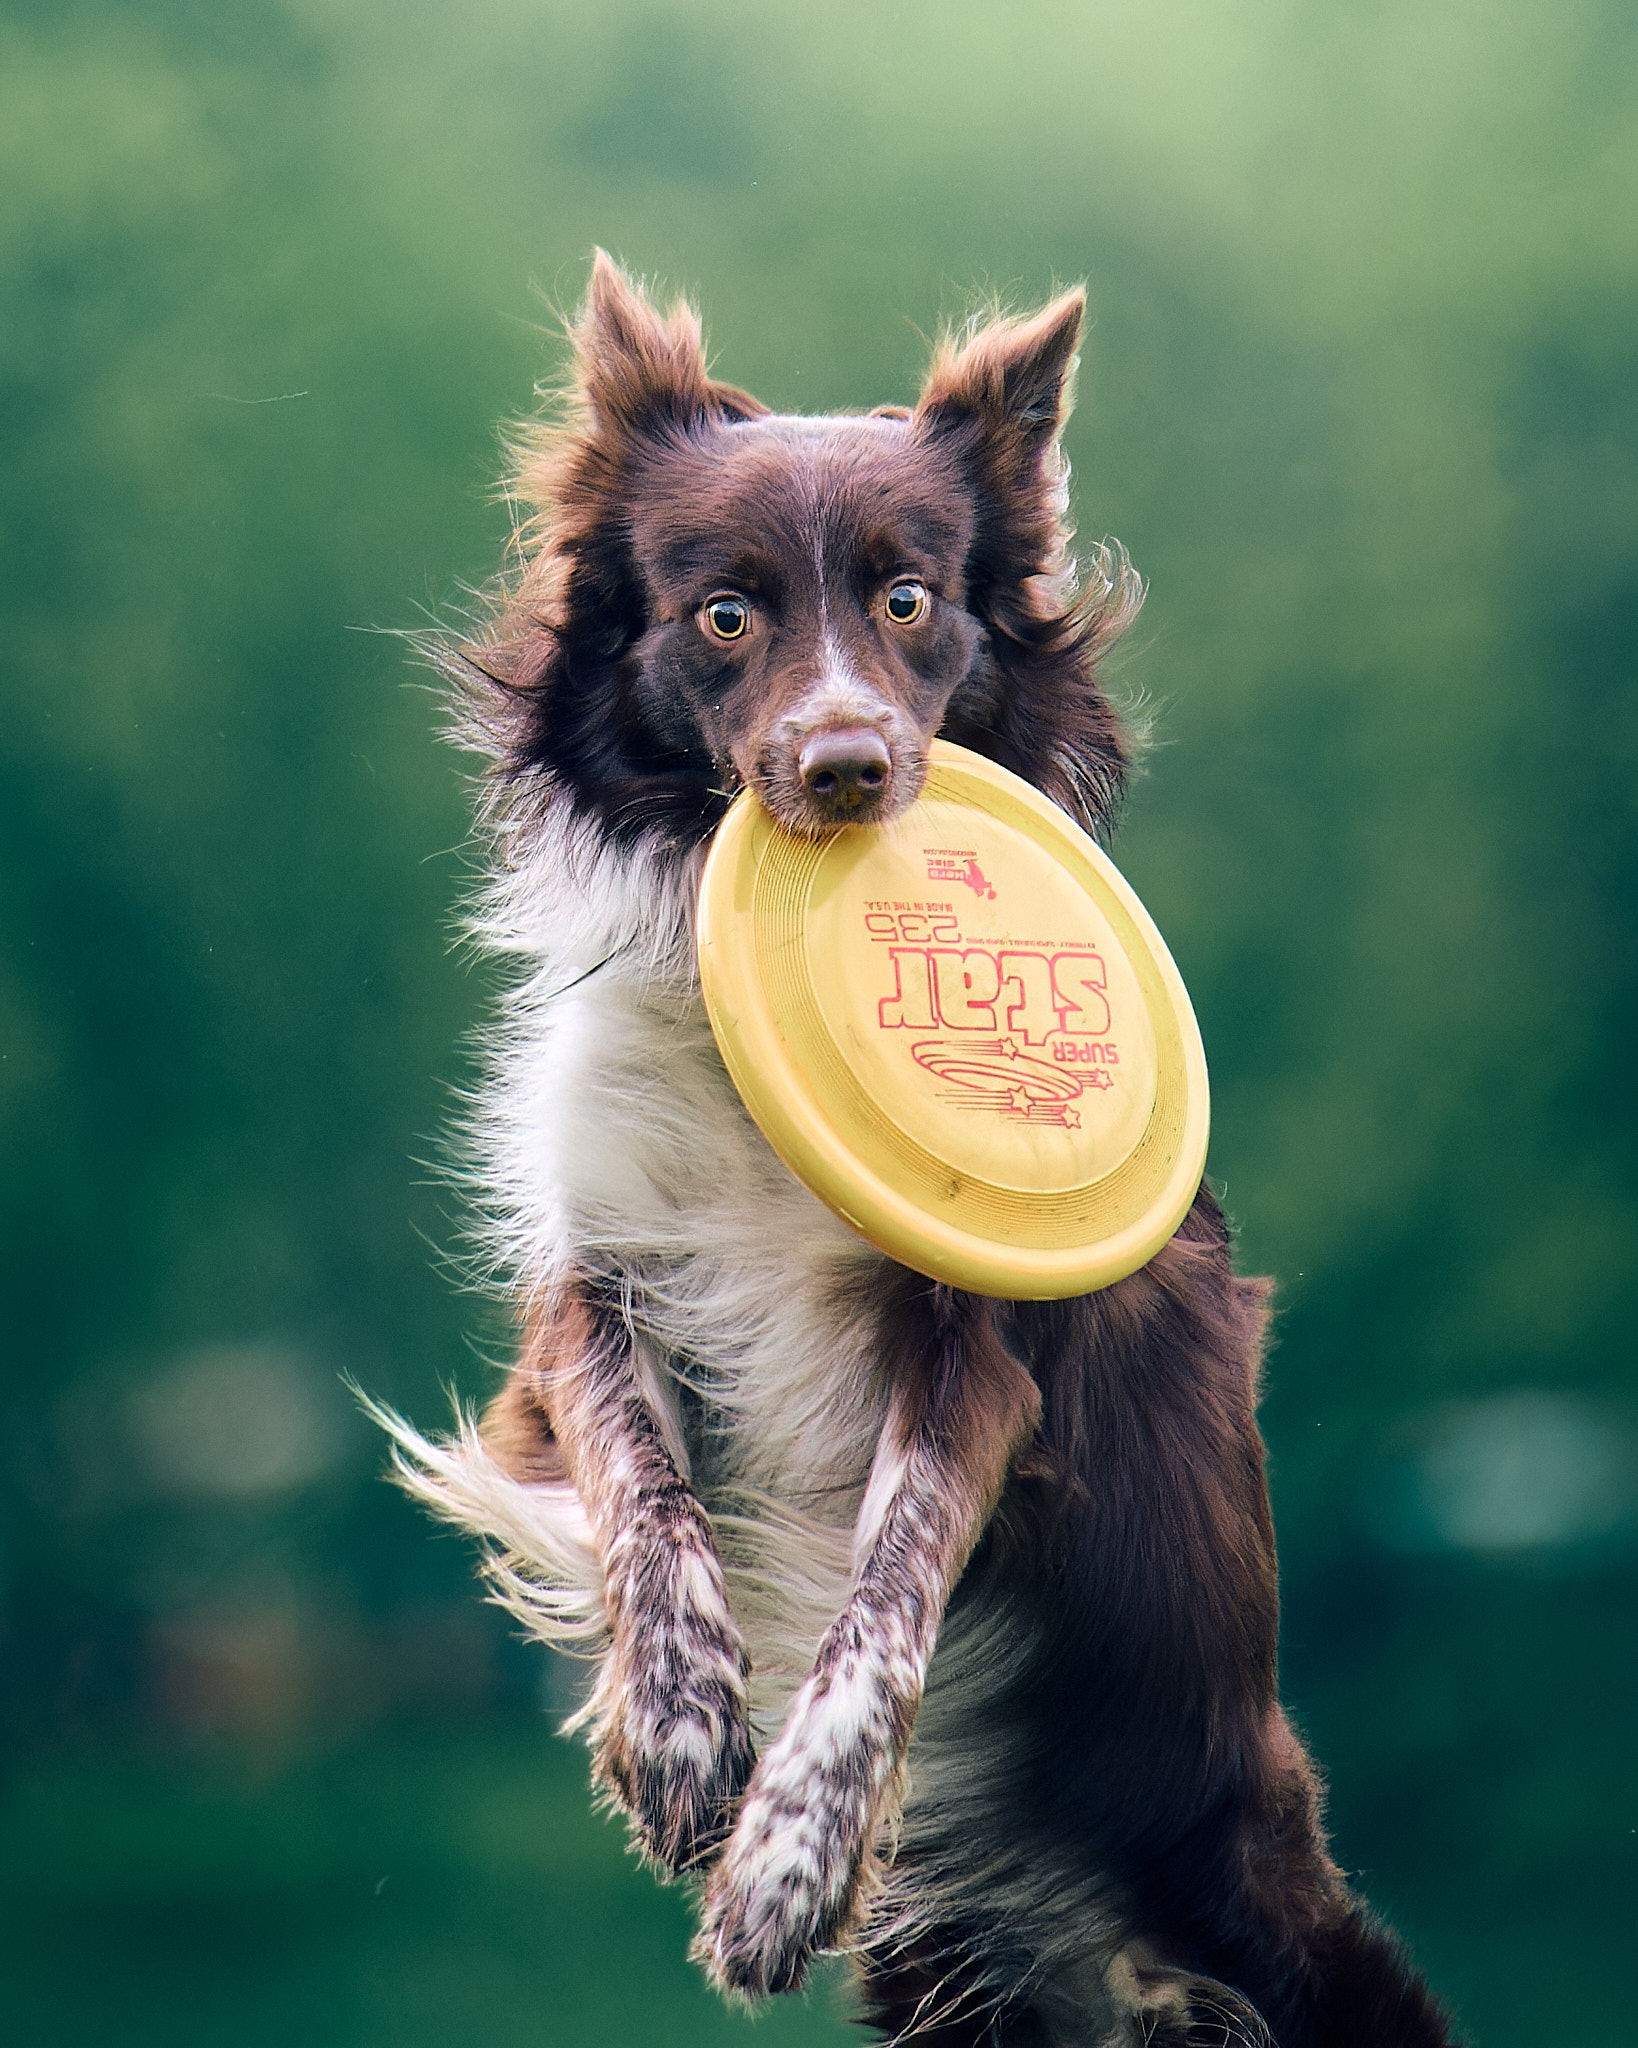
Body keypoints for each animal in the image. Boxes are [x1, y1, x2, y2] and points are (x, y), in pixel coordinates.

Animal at [384, 256, 1457, 2048]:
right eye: (723, 613)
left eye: (905, 600)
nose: (846, 768)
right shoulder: (594, 1275)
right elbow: (638, 1484)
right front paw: (675, 1728)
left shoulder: (979, 1350)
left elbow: (885, 1597)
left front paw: (783, 1865)